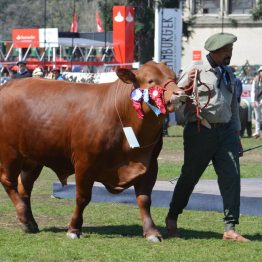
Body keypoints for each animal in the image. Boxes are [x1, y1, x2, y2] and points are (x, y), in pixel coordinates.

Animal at [0, 61, 182, 242]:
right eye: (151, 81)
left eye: (175, 78)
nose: (180, 95)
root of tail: (7, 86)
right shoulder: (84, 163)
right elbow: (82, 197)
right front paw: (74, 229)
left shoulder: (149, 166)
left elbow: (144, 199)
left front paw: (152, 232)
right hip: (9, 154)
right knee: (8, 181)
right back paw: (24, 217)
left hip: (33, 159)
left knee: (25, 187)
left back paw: (29, 222)